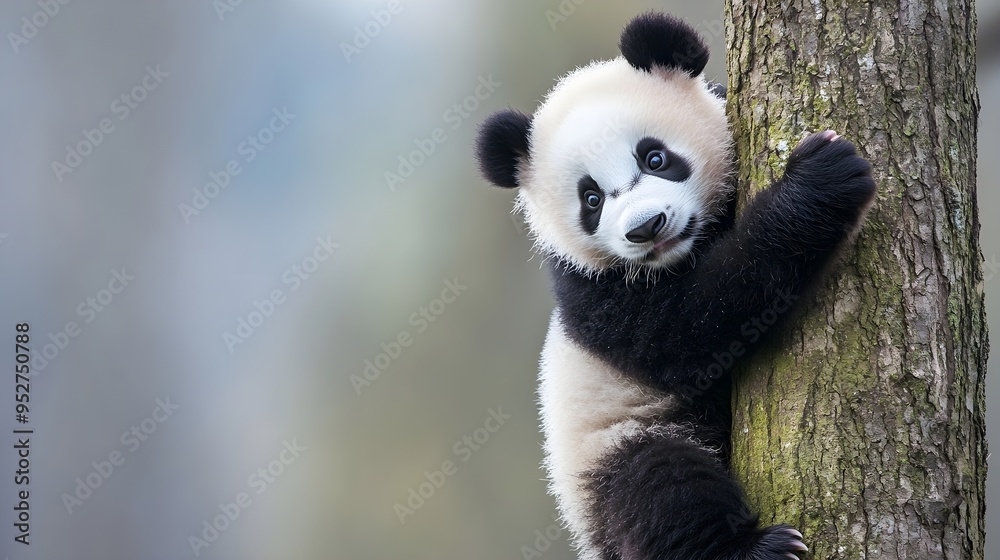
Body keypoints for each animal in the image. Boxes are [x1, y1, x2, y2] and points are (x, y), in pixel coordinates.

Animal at [475, 12, 876, 560]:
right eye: (591, 199)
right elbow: (694, 327)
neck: (682, 253)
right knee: (660, 486)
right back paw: (751, 548)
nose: (646, 227)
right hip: (610, 444)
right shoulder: (594, 288)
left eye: (655, 159)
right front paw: (820, 183)